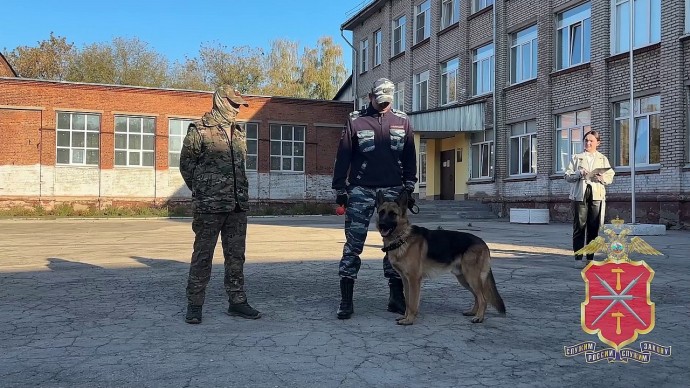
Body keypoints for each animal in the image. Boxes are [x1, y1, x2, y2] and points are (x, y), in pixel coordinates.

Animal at [376, 190, 506, 324]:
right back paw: (473, 312)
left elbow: (412, 302)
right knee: (477, 297)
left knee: (483, 299)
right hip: (464, 279)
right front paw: (405, 316)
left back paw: (479, 317)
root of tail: (483, 242)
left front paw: (409, 320)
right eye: (381, 212)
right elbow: (407, 301)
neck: (402, 238)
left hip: (471, 277)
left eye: (393, 214)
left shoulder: (414, 279)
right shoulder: (405, 280)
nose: (381, 225)